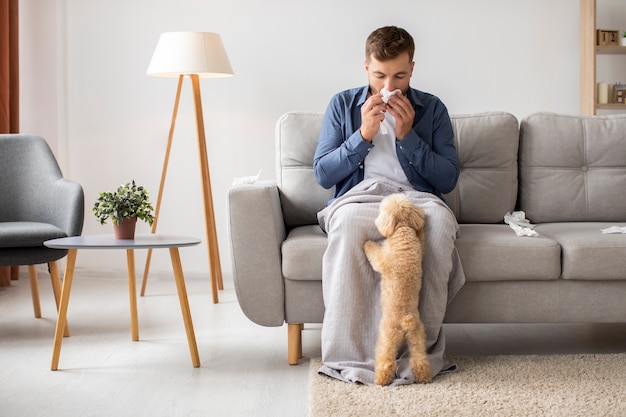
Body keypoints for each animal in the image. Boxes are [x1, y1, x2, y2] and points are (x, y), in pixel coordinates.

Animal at [360, 193, 428, 386]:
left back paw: (380, 379)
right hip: (417, 335)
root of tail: (405, 320)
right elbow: (422, 239)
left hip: (387, 335)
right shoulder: (421, 248)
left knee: (386, 360)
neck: (402, 230)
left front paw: (367, 244)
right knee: (420, 358)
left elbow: (374, 254)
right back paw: (424, 377)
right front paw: (421, 227)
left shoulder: (382, 260)